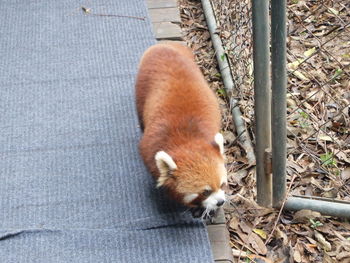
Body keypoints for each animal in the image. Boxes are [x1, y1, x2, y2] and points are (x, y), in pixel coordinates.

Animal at [134, 42, 227, 218]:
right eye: (205, 192)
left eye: (223, 184)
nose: (221, 202)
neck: (186, 140)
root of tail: (163, 46)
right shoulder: (149, 146)